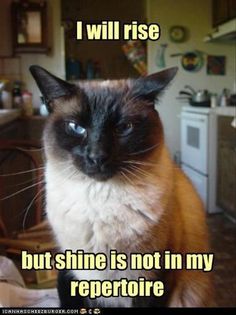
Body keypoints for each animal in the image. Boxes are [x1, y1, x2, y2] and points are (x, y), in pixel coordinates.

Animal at [30, 65, 214, 308]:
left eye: (124, 128)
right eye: (76, 128)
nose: (97, 156)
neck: (101, 202)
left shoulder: (153, 279)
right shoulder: (80, 277)